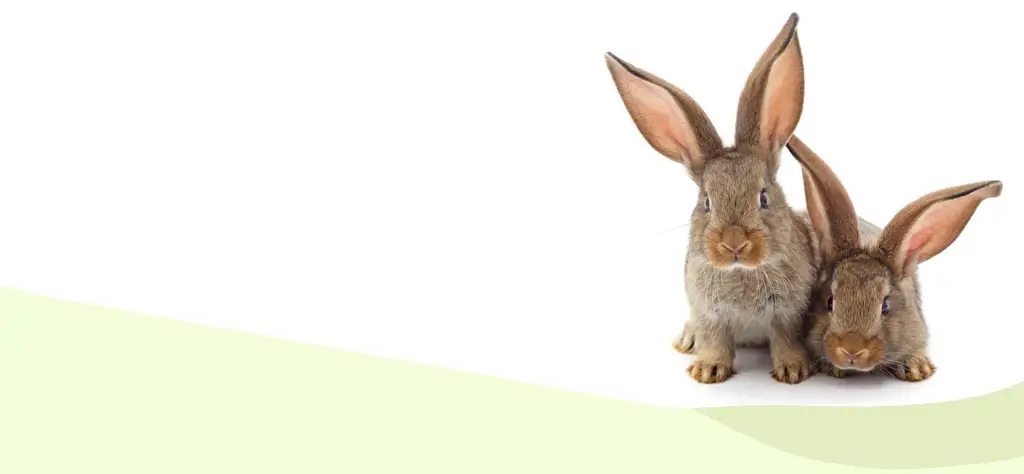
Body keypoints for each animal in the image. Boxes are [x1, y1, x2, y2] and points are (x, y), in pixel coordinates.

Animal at [602, 13, 819, 384]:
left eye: (764, 198)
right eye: (706, 202)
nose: (733, 243)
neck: (742, 272)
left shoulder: (788, 313)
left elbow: (785, 339)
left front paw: (793, 370)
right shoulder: (710, 314)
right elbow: (715, 340)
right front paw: (707, 371)